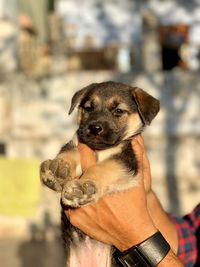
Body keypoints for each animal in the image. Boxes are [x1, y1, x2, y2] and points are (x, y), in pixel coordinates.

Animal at [40, 81, 159, 267]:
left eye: (118, 111)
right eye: (88, 108)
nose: (94, 128)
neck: (100, 150)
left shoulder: (125, 161)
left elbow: (102, 167)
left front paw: (81, 188)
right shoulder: (77, 142)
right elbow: (70, 152)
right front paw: (57, 168)